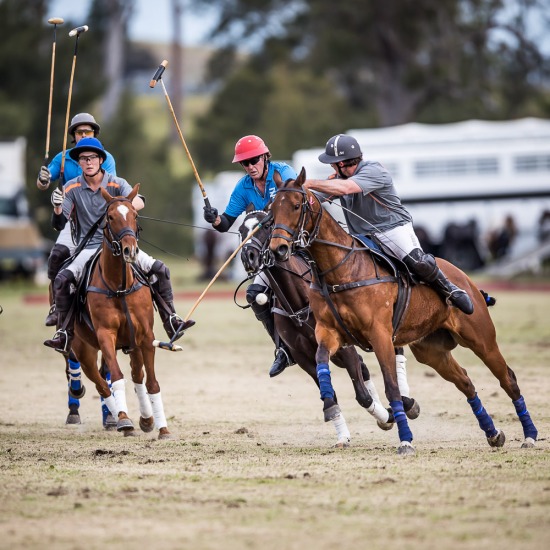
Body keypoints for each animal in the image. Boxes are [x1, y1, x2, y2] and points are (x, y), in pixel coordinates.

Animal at [70, 188, 171, 442]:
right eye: (111, 217)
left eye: (135, 215)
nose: (130, 250)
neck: (120, 285)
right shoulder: (105, 334)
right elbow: (116, 376)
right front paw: (125, 420)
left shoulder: (145, 337)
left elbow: (152, 382)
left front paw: (163, 428)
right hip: (84, 349)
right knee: (102, 383)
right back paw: (119, 418)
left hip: (132, 344)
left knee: (137, 374)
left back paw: (146, 419)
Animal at [238, 208, 422, 448]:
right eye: (240, 230)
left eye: (266, 226)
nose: (248, 257)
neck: (298, 301)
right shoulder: (305, 356)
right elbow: (330, 396)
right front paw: (343, 436)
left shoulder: (344, 347)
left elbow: (362, 396)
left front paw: (388, 416)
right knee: (364, 367)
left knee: (392, 352)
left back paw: (407, 400)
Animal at [270, 171, 540, 458]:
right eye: (272, 211)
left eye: (296, 206)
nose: (278, 249)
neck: (339, 270)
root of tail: (465, 278)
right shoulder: (328, 332)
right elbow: (321, 360)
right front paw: (330, 402)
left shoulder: (380, 336)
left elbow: (392, 387)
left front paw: (406, 440)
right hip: (430, 351)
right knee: (465, 381)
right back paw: (493, 433)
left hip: (482, 339)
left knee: (508, 378)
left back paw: (530, 435)